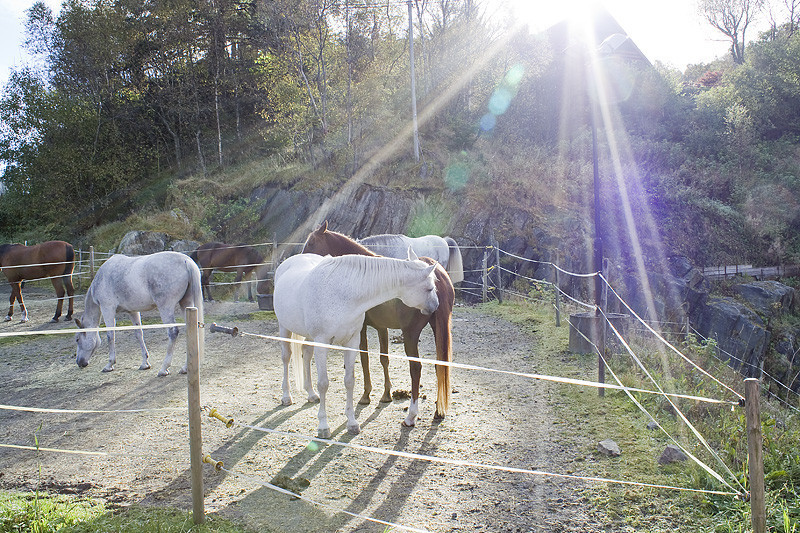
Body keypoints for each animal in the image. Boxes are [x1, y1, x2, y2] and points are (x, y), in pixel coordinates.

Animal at [274, 249, 438, 436]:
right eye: (430, 288)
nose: (435, 306)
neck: (343, 294)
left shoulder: (352, 342)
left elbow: (349, 381)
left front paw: (352, 423)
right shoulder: (322, 343)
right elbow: (323, 383)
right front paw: (323, 426)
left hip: (309, 336)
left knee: (306, 354)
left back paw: (311, 394)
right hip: (284, 328)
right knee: (286, 358)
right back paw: (286, 396)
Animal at [300, 219, 454, 424]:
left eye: (310, 243)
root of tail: (439, 276)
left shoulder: (362, 329)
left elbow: (365, 358)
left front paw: (366, 395)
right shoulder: (382, 328)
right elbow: (384, 359)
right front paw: (386, 394)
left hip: (411, 334)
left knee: (416, 368)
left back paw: (411, 416)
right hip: (437, 328)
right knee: (440, 365)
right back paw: (439, 410)